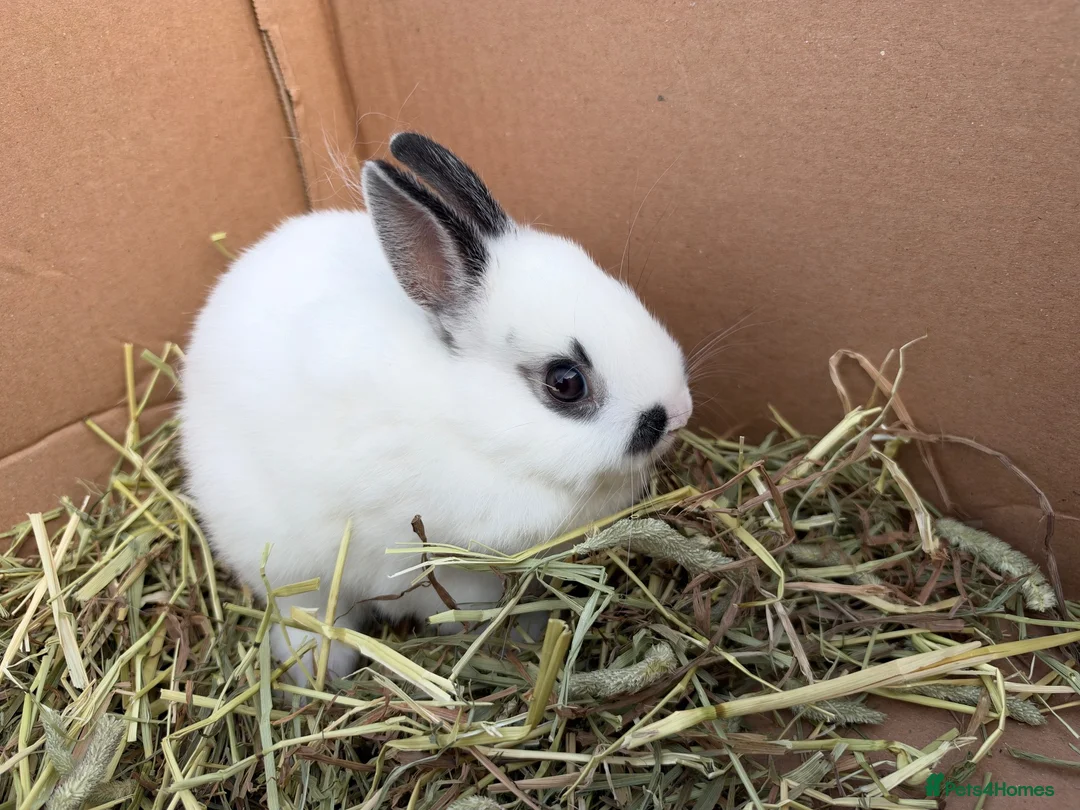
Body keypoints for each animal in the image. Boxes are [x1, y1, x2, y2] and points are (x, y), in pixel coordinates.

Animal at [177, 132, 693, 687]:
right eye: (565, 383)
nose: (680, 412)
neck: (470, 425)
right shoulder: (445, 566)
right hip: (287, 560)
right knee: (302, 613)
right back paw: (323, 669)